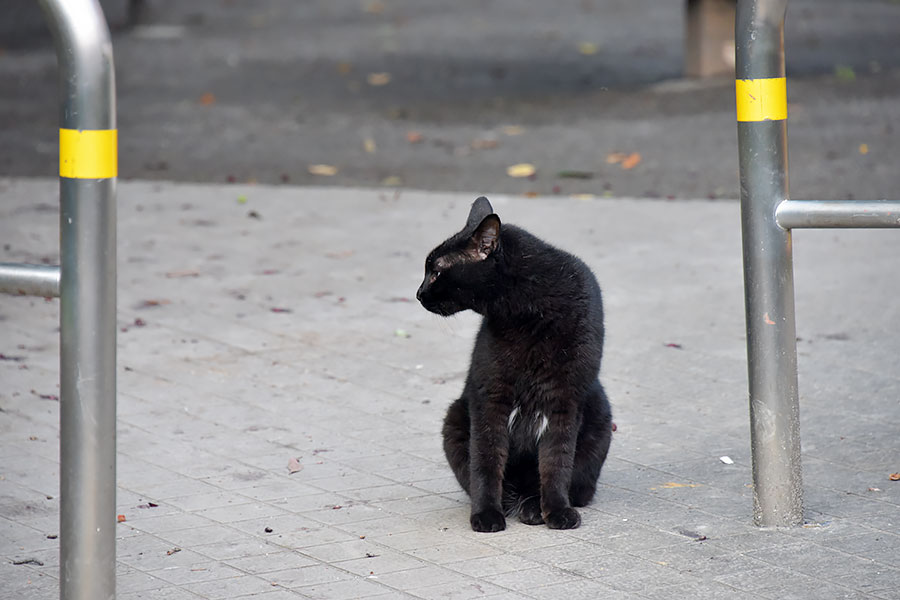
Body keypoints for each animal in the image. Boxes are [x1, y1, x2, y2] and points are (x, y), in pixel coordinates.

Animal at [418, 199, 616, 532]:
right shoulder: (490, 397)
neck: (530, 312)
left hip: (599, 412)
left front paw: (556, 510)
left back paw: (534, 505)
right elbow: (486, 461)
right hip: (455, 417)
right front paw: (487, 513)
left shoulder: (564, 400)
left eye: (437, 270)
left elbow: (556, 462)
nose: (418, 293)